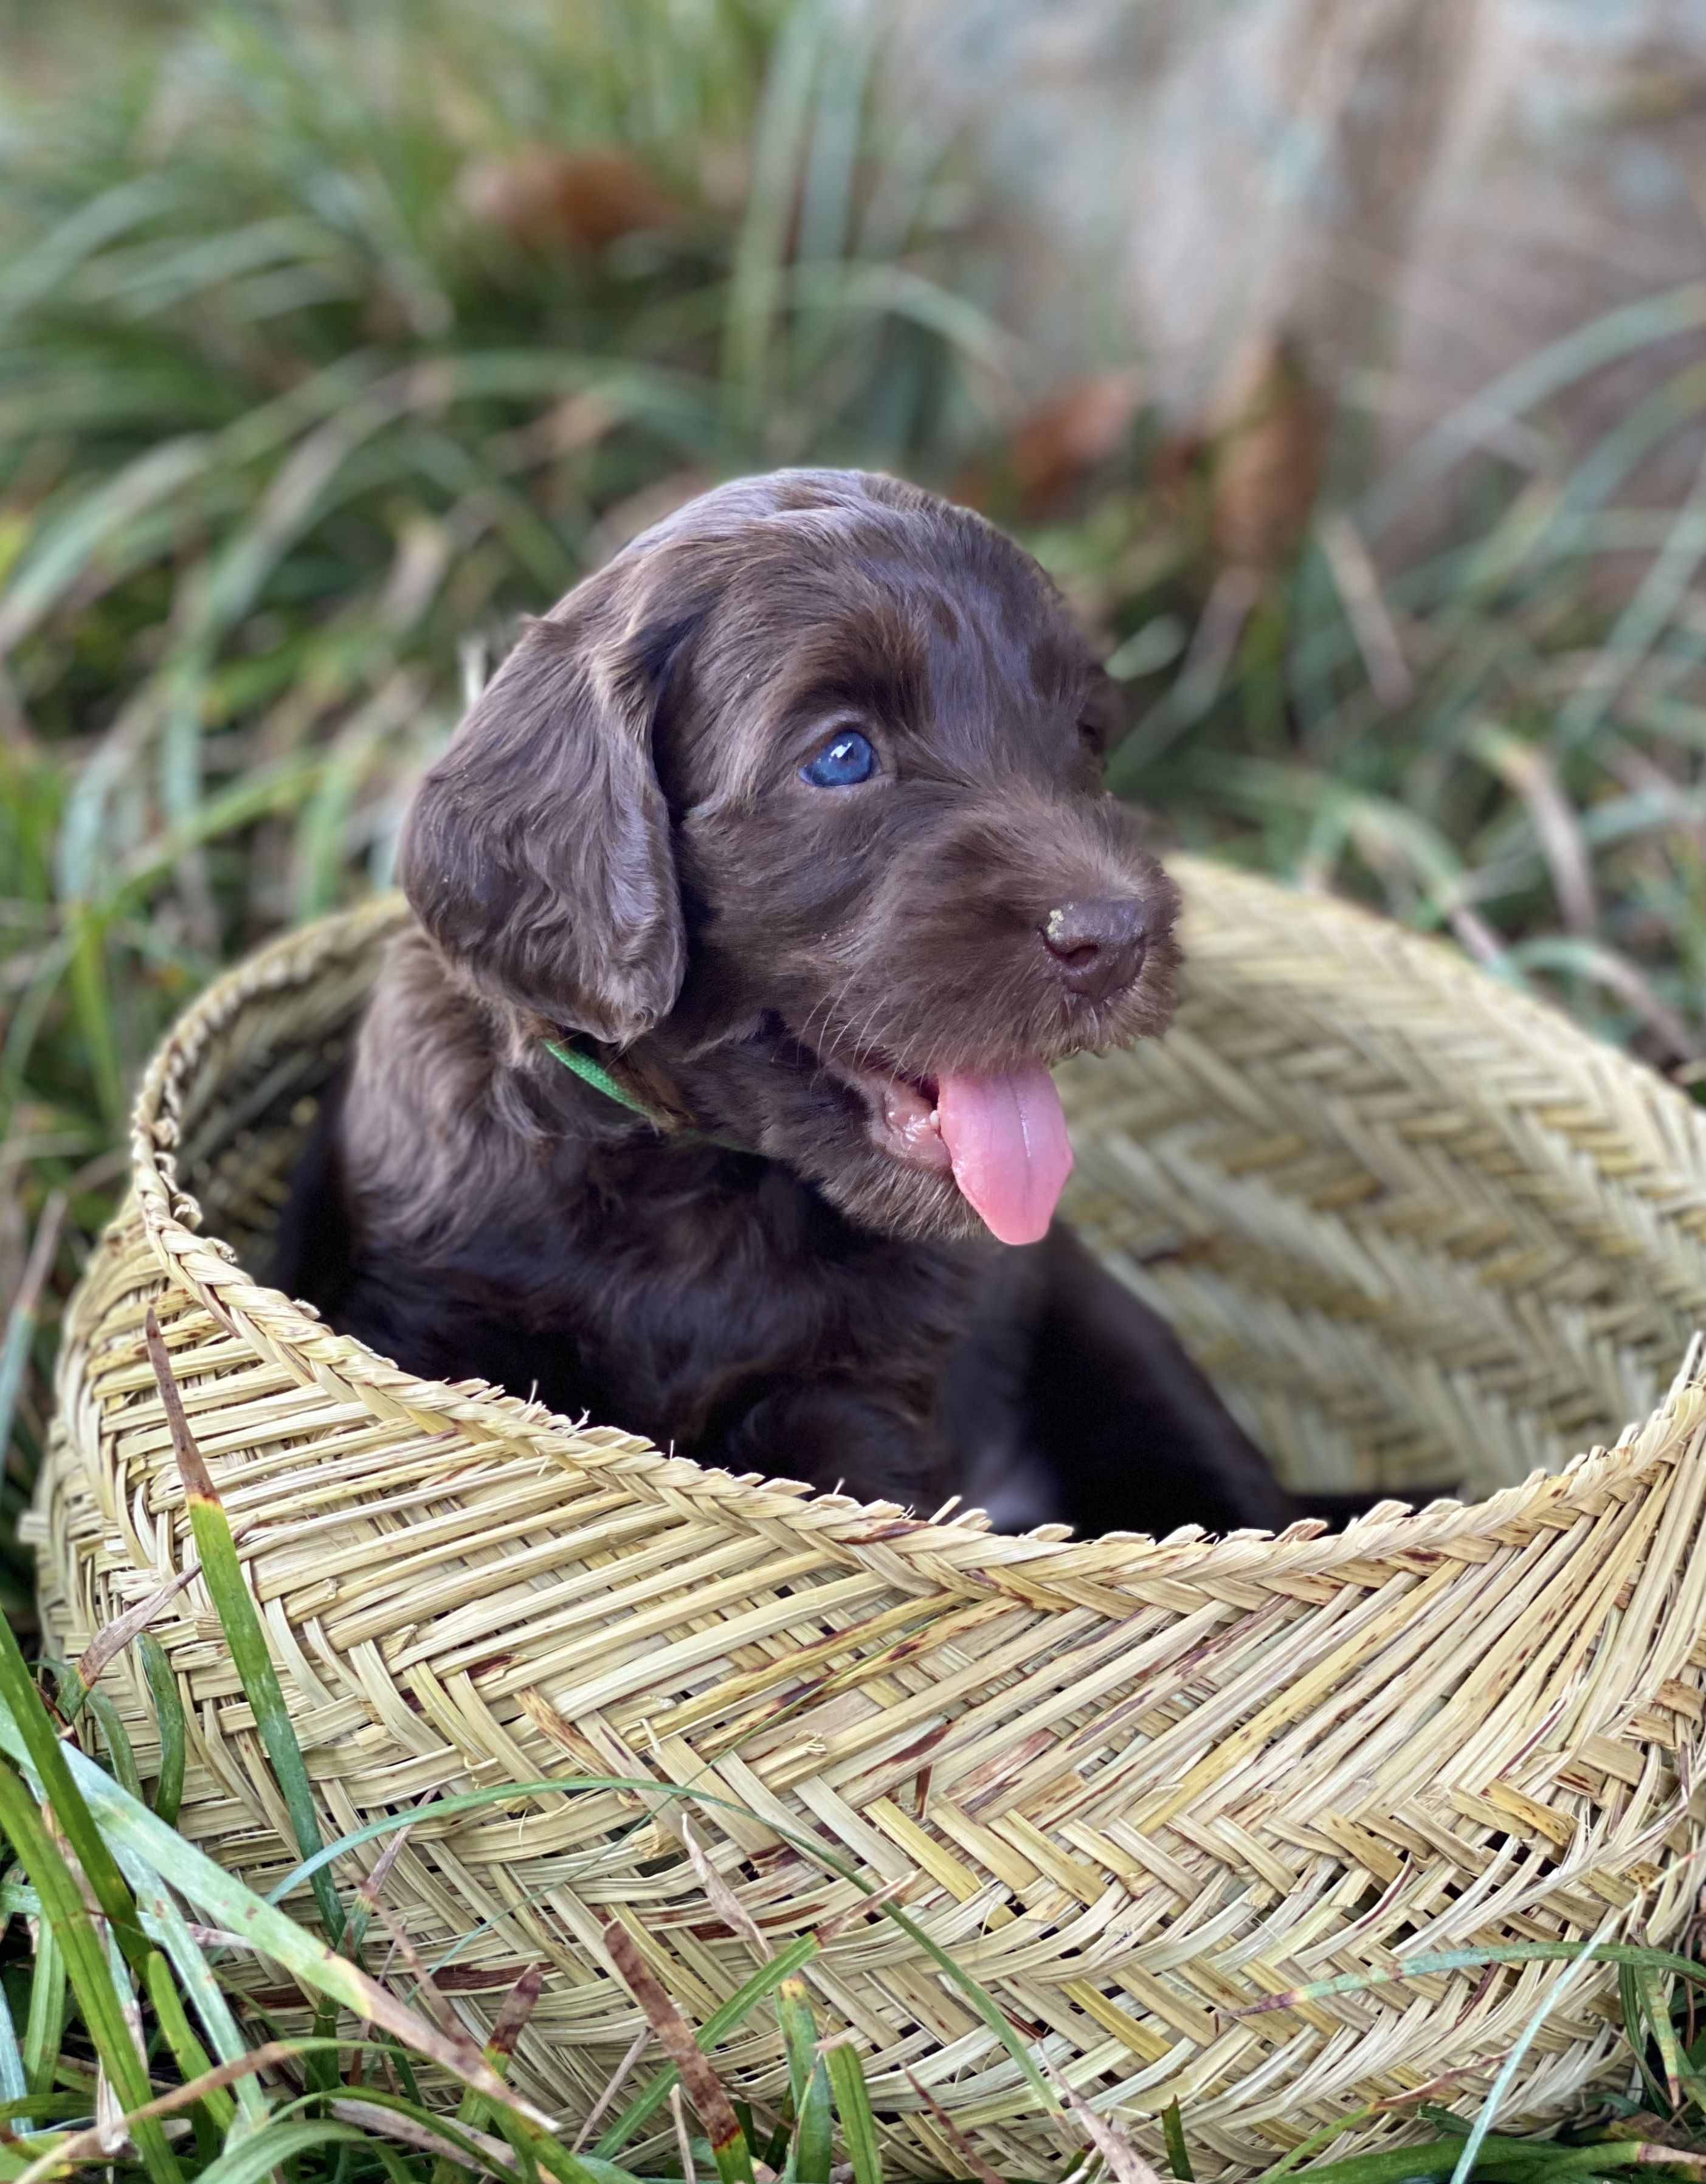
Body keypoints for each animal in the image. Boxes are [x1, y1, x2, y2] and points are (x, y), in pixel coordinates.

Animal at [274, 469, 1297, 1538]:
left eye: (1083, 739)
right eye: (842, 756)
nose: (1117, 934)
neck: (697, 1184)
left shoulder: (859, 1400)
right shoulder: (428, 1313)